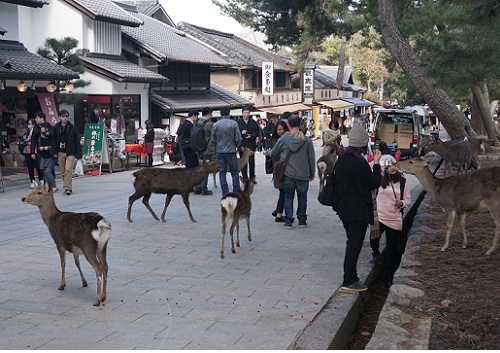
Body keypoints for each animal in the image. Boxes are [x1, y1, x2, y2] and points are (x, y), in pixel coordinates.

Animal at [21, 171, 110, 306]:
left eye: (39, 192)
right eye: (33, 190)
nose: (23, 198)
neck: (51, 220)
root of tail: (100, 224)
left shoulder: (59, 243)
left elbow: (62, 263)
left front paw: (62, 285)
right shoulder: (74, 247)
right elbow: (77, 262)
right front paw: (84, 282)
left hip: (88, 247)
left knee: (98, 268)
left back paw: (97, 299)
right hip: (103, 246)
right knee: (105, 266)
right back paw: (104, 296)